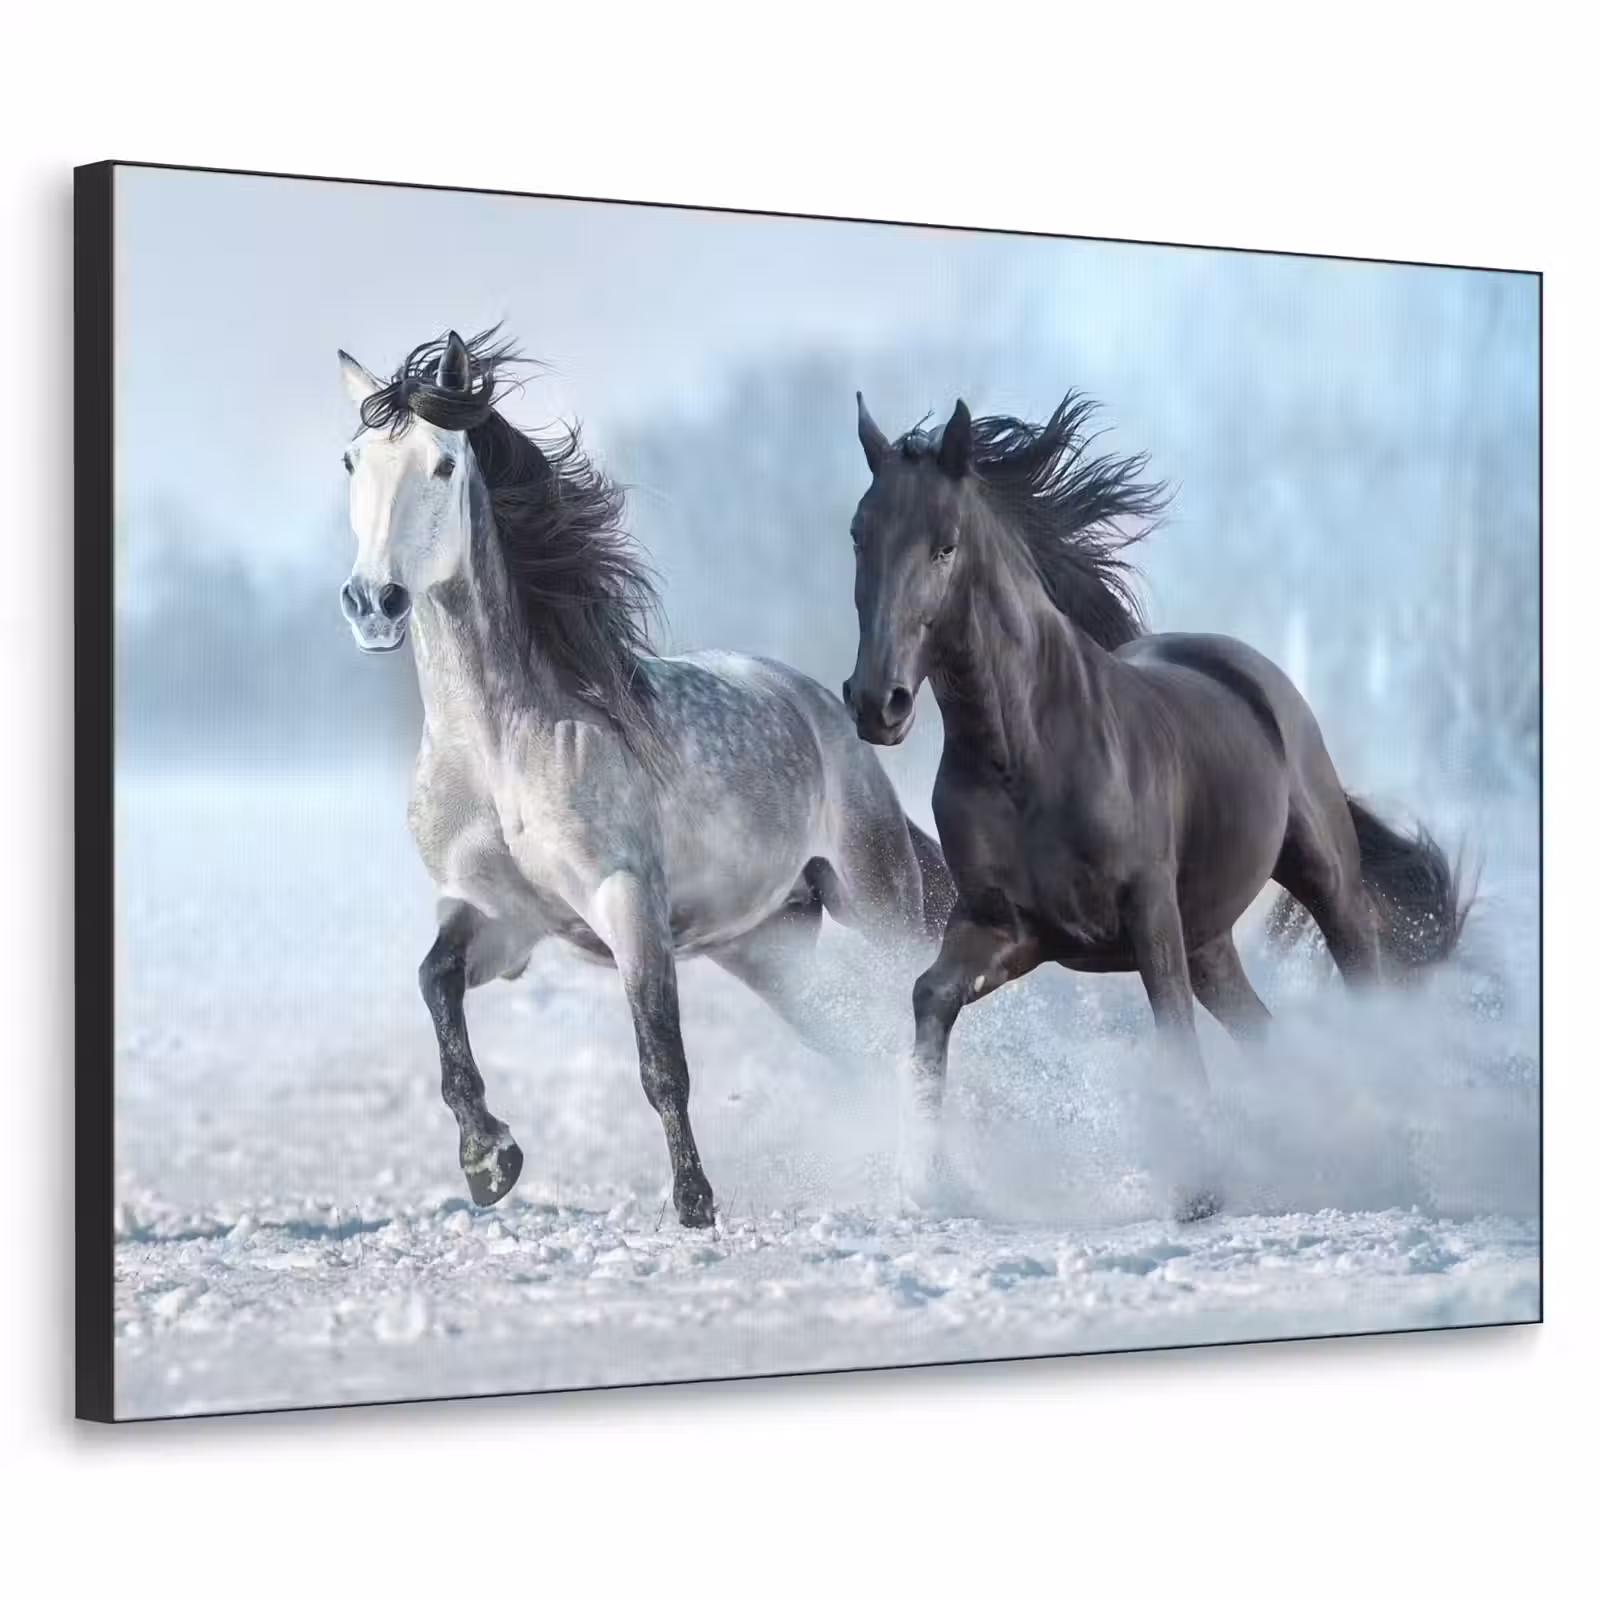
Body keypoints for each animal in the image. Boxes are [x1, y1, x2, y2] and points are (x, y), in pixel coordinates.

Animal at [336, 328, 954, 1228]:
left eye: (444, 465)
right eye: (353, 460)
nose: (372, 603)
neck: (500, 748)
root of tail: (821, 704)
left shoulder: (626, 901)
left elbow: (662, 1059)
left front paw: (694, 1204)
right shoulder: (499, 916)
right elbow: (435, 985)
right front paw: (489, 1160)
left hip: (877, 901)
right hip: (768, 949)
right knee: (860, 1041)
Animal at [843, 390, 1469, 1218]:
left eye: (945, 547)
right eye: (859, 535)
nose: (876, 702)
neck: (1026, 755)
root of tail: (1251, 671)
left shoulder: (1146, 912)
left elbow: (1172, 1035)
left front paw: (1200, 1192)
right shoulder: (1009, 927)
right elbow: (930, 998)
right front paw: (927, 1180)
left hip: (1319, 880)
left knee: (1360, 984)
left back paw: (1390, 1160)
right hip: (1209, 941)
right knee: (1263, 1031)